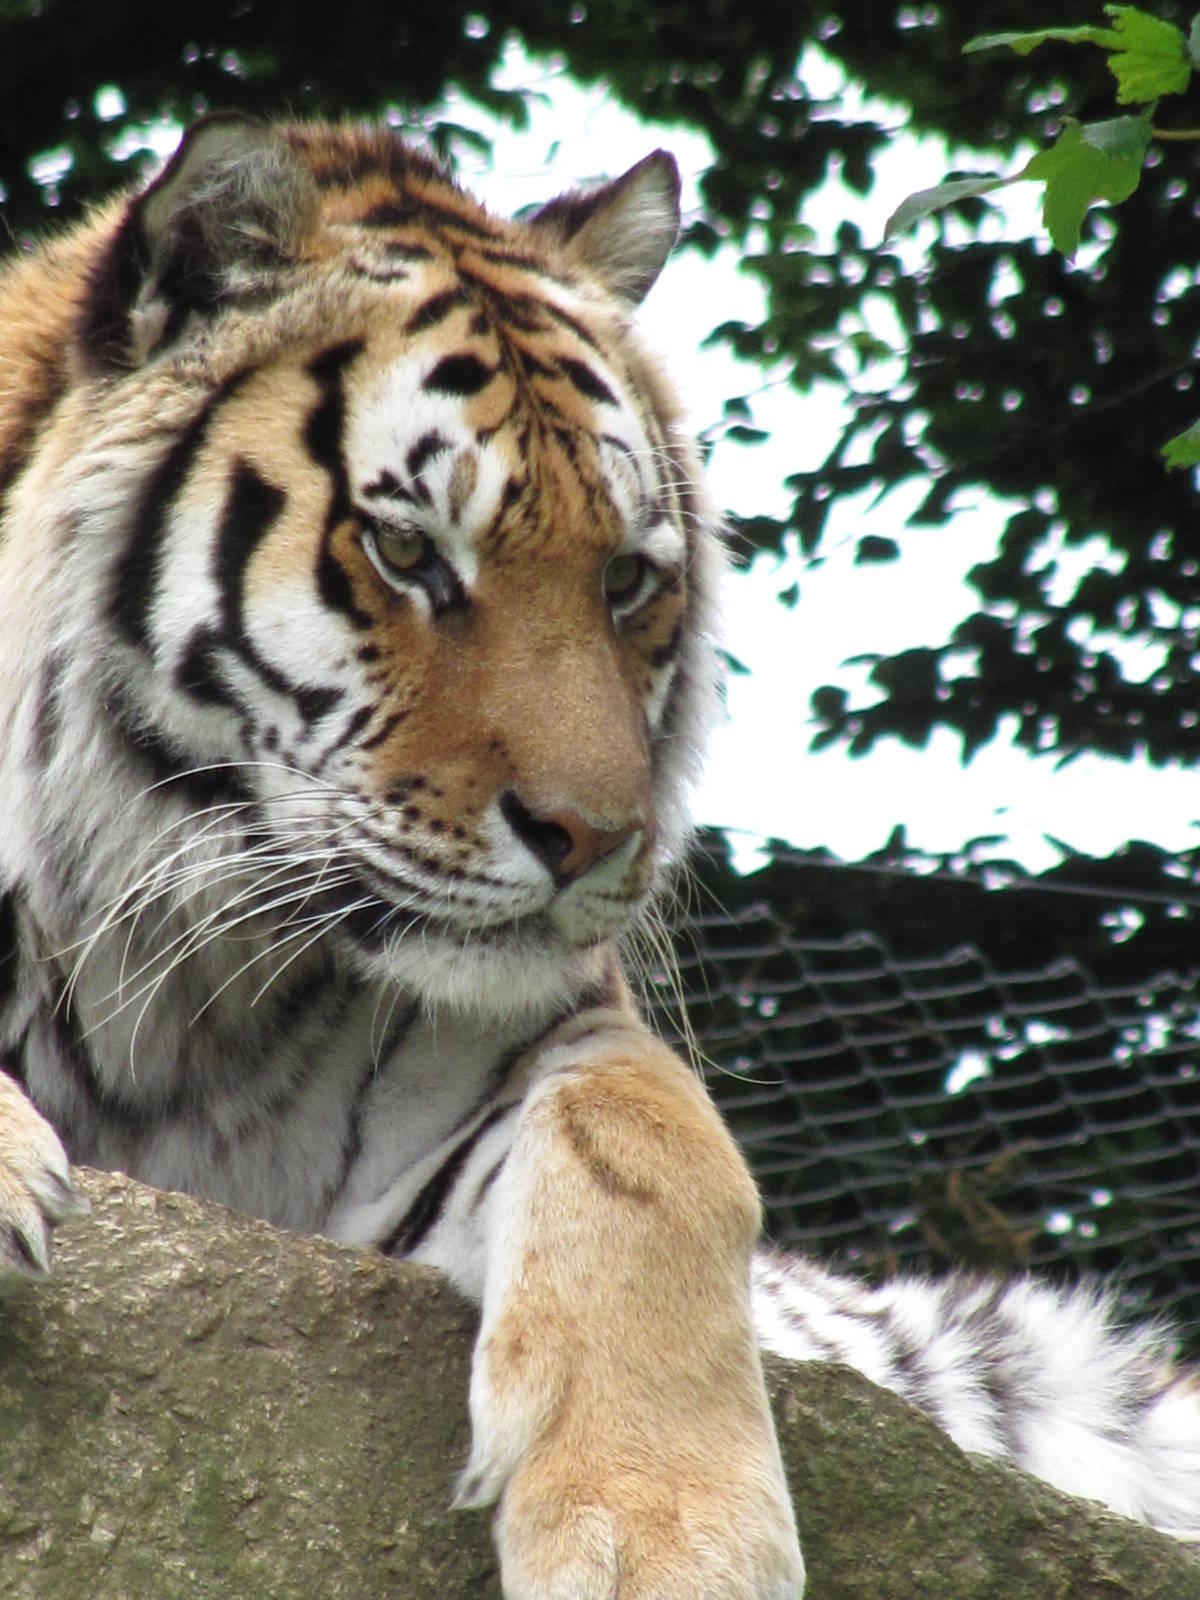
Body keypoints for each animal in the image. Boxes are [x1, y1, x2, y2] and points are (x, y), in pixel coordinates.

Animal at [0, 114, 1196, 1599]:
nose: (600, 840)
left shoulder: (543, 1049)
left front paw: (665, 1532)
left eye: (626, 579)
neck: (176, 979)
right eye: (407, 551)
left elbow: (651, 1156)